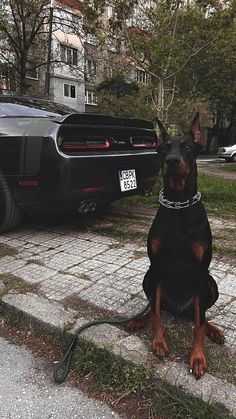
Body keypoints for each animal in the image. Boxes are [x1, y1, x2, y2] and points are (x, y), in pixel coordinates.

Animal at [128, 114, 224, 380]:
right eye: (163, 148)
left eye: (187, 146)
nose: (171, 161)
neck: (178, 203)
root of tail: (180, 310)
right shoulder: (157, 265)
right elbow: (156, 313)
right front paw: (159, 342)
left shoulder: (201, 271)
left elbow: (199, 325)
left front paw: (198, 357)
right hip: (148, 277)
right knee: (154, 307)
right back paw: (138, 321)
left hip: (210, 284)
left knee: (200, 314)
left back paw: (214, 331)